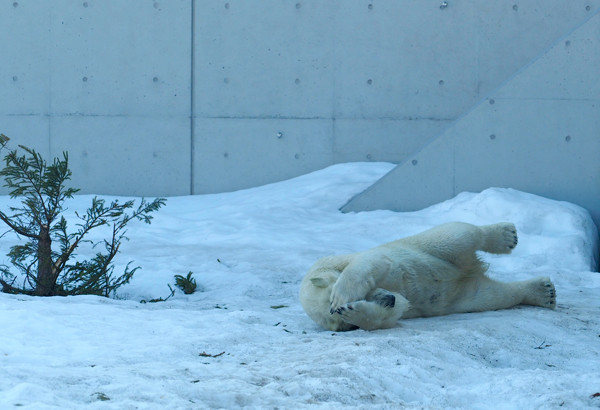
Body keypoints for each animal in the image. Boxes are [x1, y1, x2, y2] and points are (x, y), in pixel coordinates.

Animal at [300, 223, 556, 332]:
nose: (387, 298)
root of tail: (468, 270)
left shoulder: (331, 262)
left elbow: (372, 261)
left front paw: (341, 297)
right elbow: (397, 310)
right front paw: (355, 312)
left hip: (429, 248)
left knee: (458, 235)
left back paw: (505, 235)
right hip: (462, 296)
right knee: (493, 296)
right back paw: (543, 292)